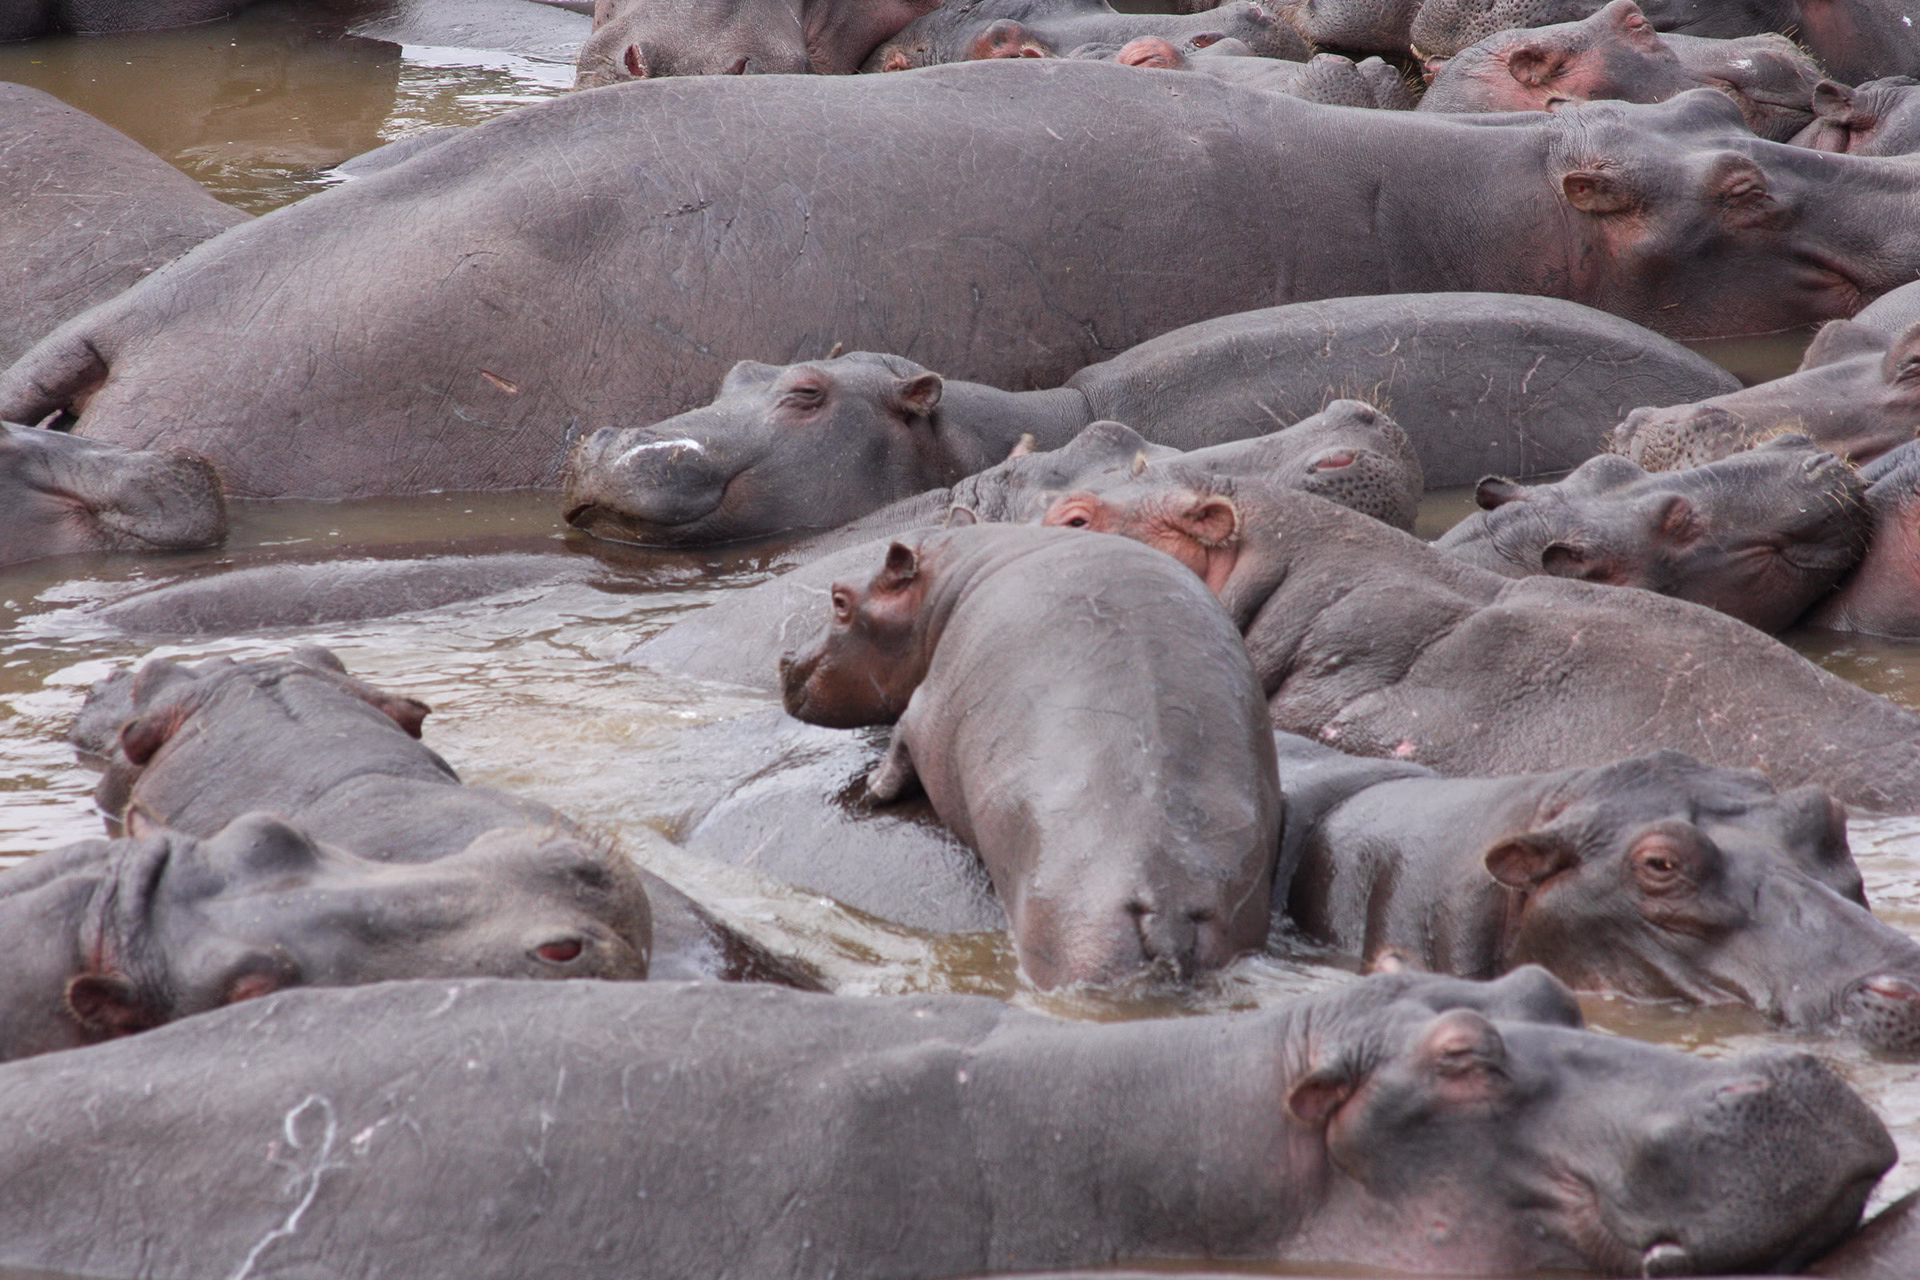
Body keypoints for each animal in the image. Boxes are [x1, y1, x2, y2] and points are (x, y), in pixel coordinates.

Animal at [779, 525, 1282, 988]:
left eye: (840, 600)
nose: (786, 659)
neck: (948, 582)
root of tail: (1167, 896)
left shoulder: (927, 705)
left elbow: (901, 740)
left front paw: (873, 790)